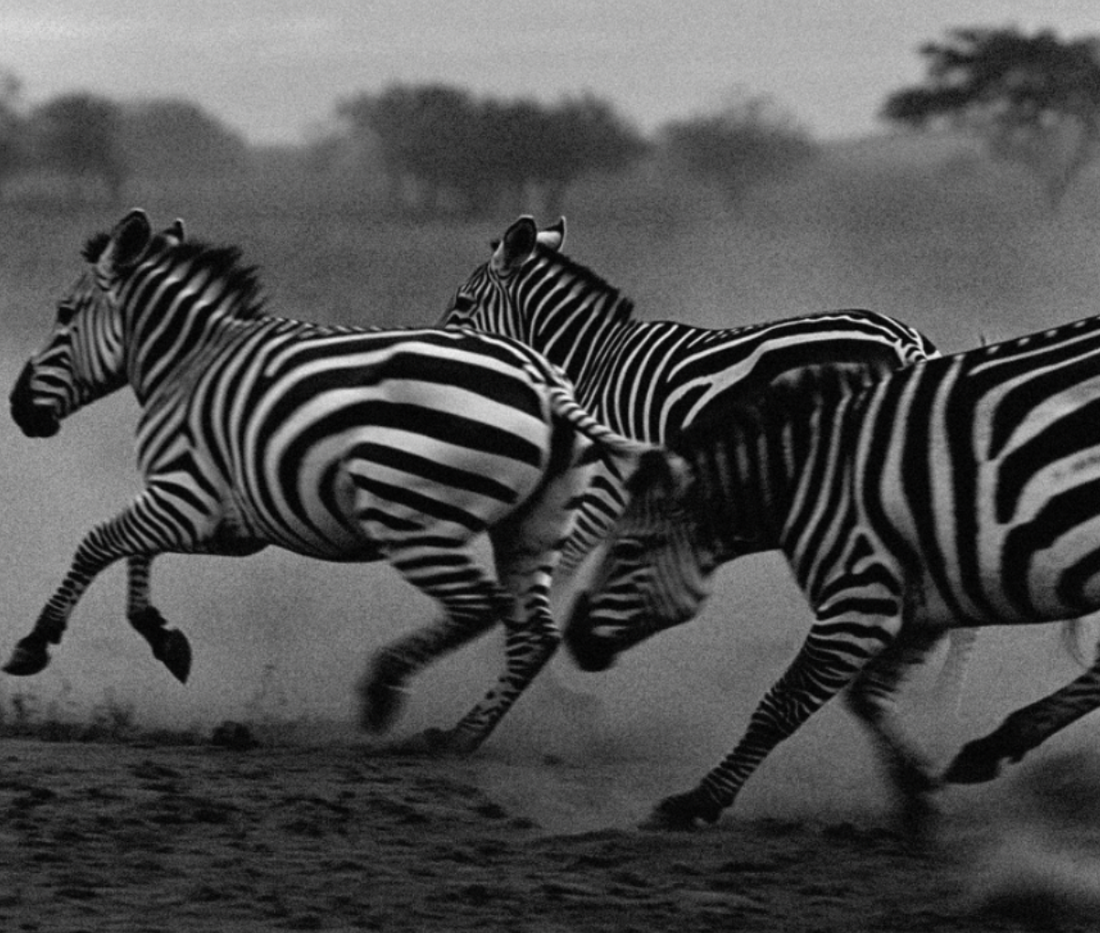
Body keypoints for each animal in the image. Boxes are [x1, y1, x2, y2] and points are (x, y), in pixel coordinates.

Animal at [5, 208, 646, 754]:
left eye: (64, 314)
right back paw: (461, 735)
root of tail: (545, 380)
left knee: (481, 606)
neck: (188, 364)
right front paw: (163, 637)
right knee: (533, 632)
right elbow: (137, 551)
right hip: (536, 524)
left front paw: (35, 643)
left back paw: (384, 689)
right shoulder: (223, 520)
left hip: (411, 518)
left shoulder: (186, 493)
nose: (17, 408)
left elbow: (98, 543)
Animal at [441, 216, 981, 690]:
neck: (594, 358)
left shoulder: (609, 481)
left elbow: (562, 566)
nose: (445, 351)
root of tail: (907, 342)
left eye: (463, 303)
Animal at [568, 316, 1100, 830]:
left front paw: (697, 802)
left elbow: (781, 706)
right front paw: (916, 792)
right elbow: (866, 696)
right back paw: (993, 749)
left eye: (629, 550)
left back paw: (997, 746)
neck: (807, 476)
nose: (575, 638)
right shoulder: (926, 598)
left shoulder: (859, 593)